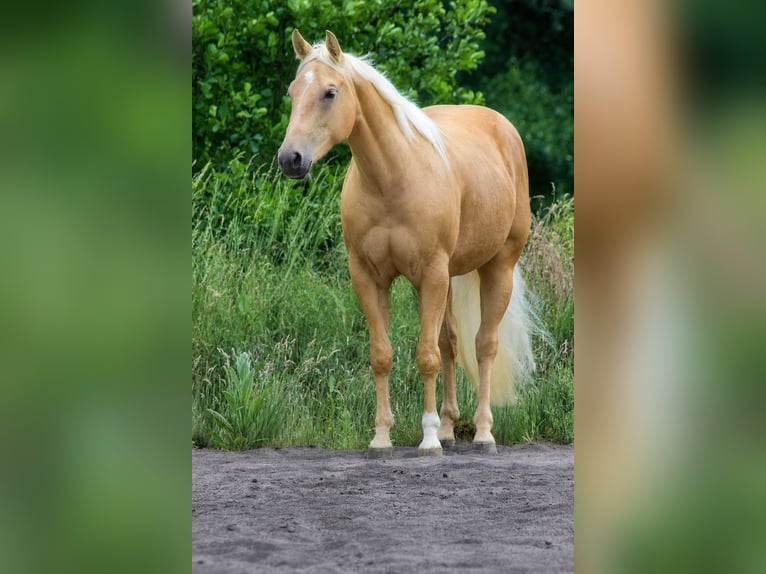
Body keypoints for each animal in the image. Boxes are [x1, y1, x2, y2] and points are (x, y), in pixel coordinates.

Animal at [278, 30, 535, 457]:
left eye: (330, 92)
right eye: (292, 92)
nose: (290, 159)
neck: (392, 180)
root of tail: (503, 128)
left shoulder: (430, 274)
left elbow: (426, 356)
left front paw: (427, 439)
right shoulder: (368, 277)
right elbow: (383, 355)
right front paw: (382, 436)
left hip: (497, 267)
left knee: (484, 345)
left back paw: (482, 432)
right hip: (448, 280)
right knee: (450, 343)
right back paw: (449, 427)